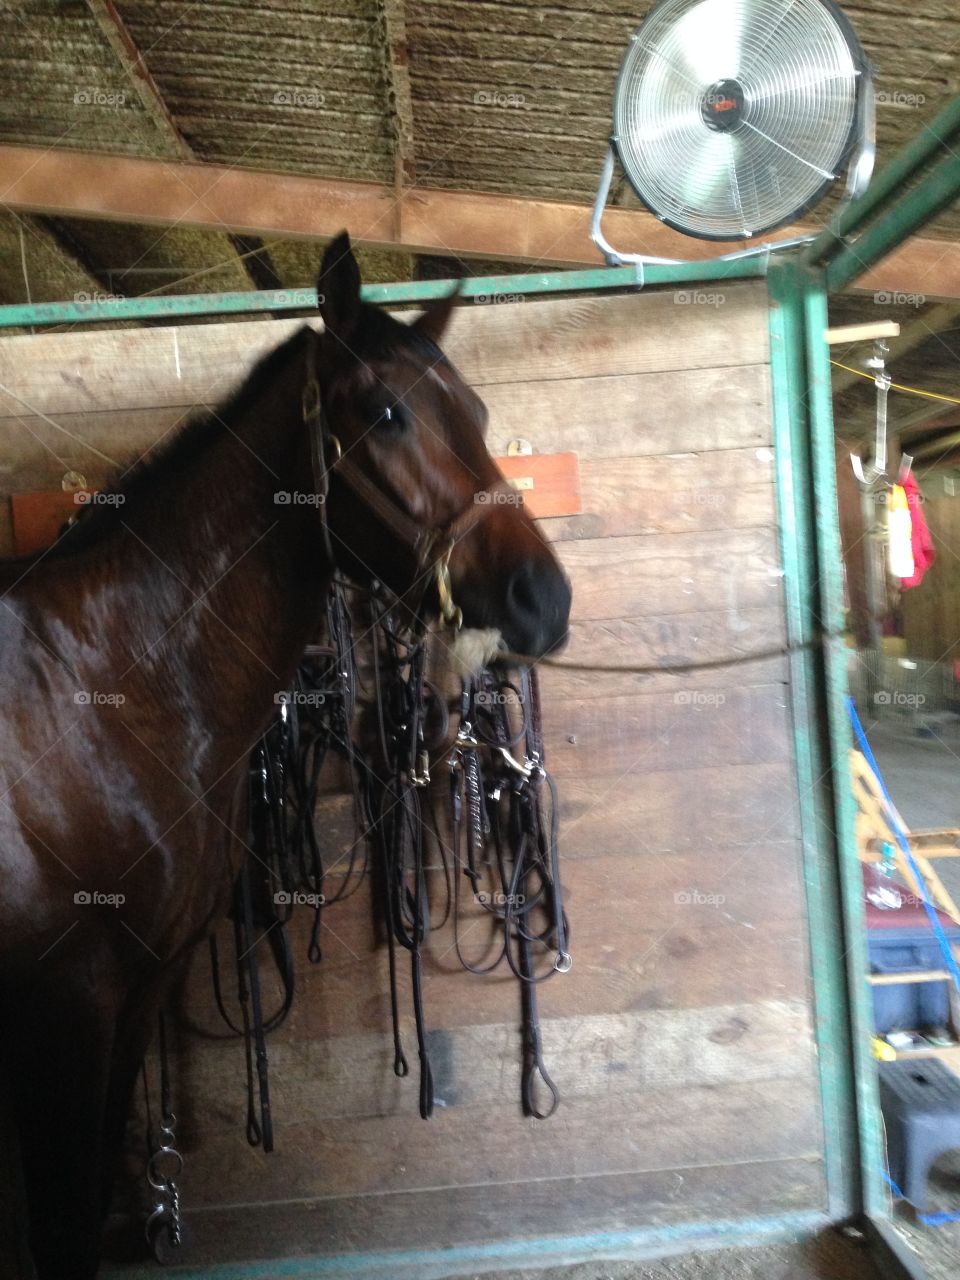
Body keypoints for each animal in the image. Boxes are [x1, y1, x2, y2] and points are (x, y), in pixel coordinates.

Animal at [0, 231, 571, 1280]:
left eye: (476, 413)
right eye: (385, 411)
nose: (542, 600)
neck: (98, 687)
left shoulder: (136, 997)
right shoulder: (64, 1015)